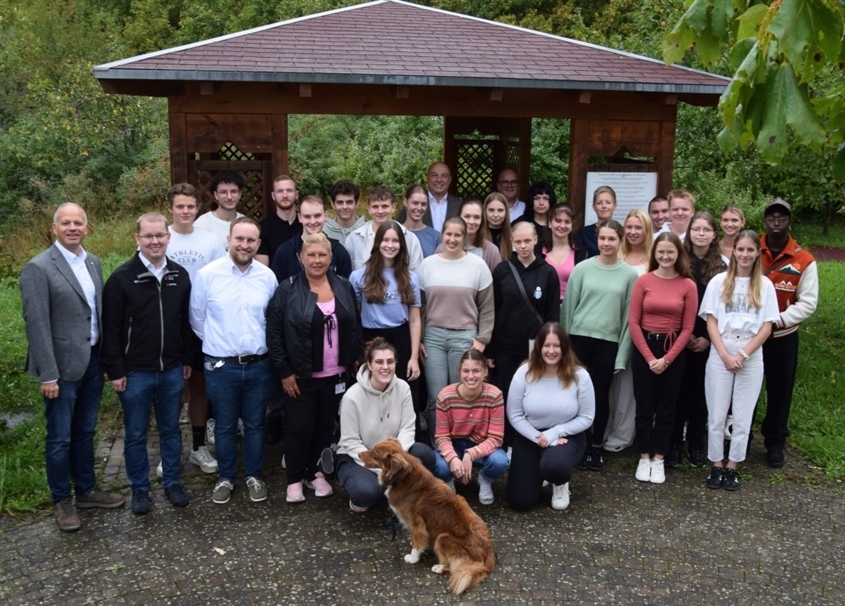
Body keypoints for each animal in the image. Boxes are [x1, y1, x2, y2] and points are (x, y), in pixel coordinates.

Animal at [358, 440, 494, 596]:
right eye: (373, 448)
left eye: (375, 454)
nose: (358, 454)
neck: (403, 477)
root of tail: (488, 555)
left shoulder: (416, 521)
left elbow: (417, 539)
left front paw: (413, 557)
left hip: (443, 537)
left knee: (458, 567)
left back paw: (439, 567)